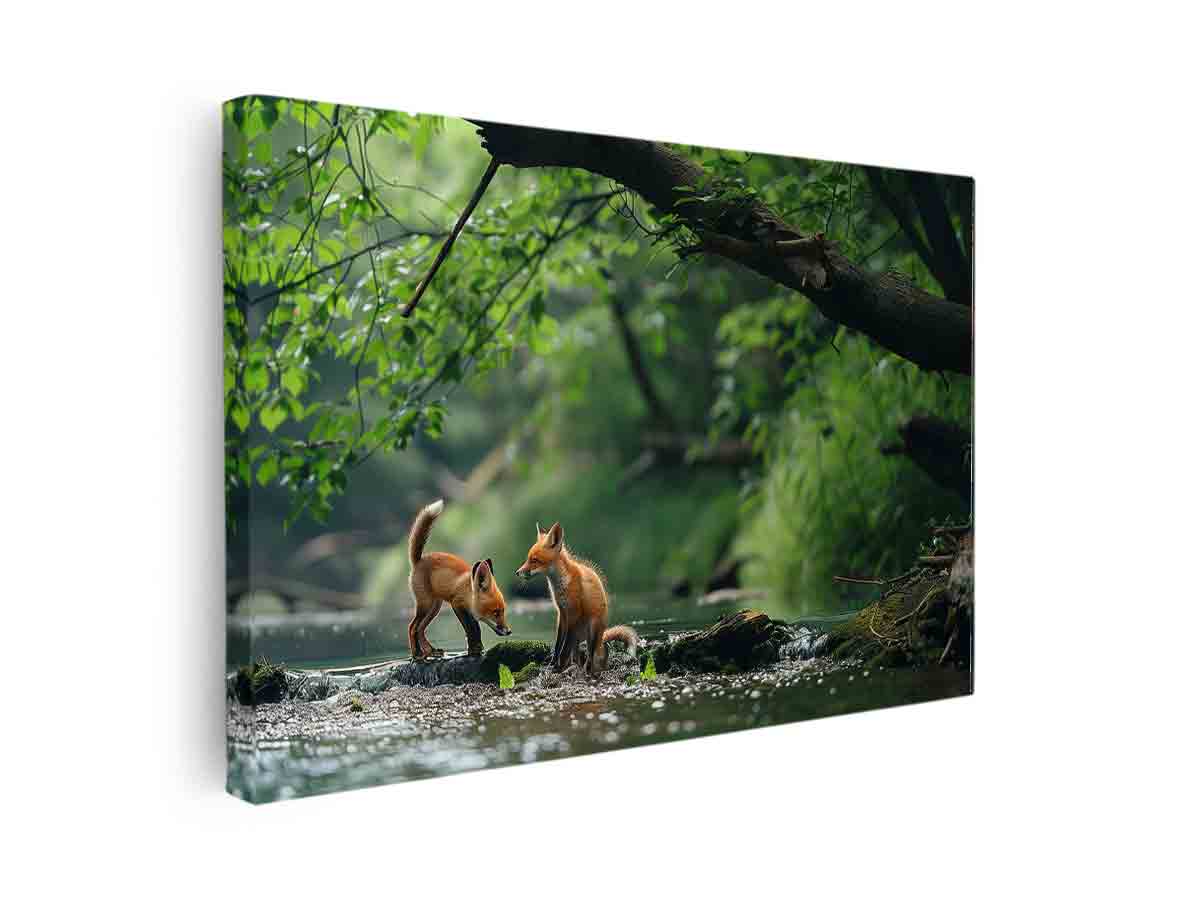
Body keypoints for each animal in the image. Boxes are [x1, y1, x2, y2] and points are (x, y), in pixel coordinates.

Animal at [407, 499, 511, 660]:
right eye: (496, 612)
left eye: (503, 611)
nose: (509, 631)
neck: (468, 591)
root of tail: (419, 560)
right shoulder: (457, 604)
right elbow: (471, 628)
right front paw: (475, 650)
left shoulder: (469, 611)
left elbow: (476, 629)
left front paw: (477, 648)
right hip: (425, 605)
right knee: (413, 627)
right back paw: (417, 654)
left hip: (434, 607)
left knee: (420, 629)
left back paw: (430, 651)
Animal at [515, 521, 638, 675]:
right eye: (528, 558)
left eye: (534, 560)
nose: (517, 572)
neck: (561, 584)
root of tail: (602, 633)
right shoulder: (562, 613)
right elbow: (558, 645)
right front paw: (553, 663)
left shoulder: (574, 613)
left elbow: (564, 649)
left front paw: (558, 668)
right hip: (579, 636)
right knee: (579, 656)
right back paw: (576, 667)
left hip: (592, 628)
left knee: (592, 654)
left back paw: (588, 670)